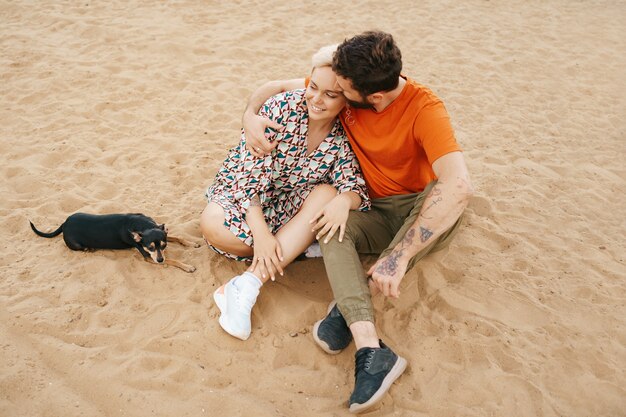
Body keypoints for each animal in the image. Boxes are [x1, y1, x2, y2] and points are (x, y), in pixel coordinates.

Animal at [29, 213, 197, 272]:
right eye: (149, 248)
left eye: (163, 245)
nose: (160, 260)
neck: (144, 226)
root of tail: (64, 223)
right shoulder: (147, 257)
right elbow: (173, 260)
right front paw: (187, 266)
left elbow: (177, 237)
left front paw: (191, 243)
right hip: (75, 244)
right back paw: (89, 249)